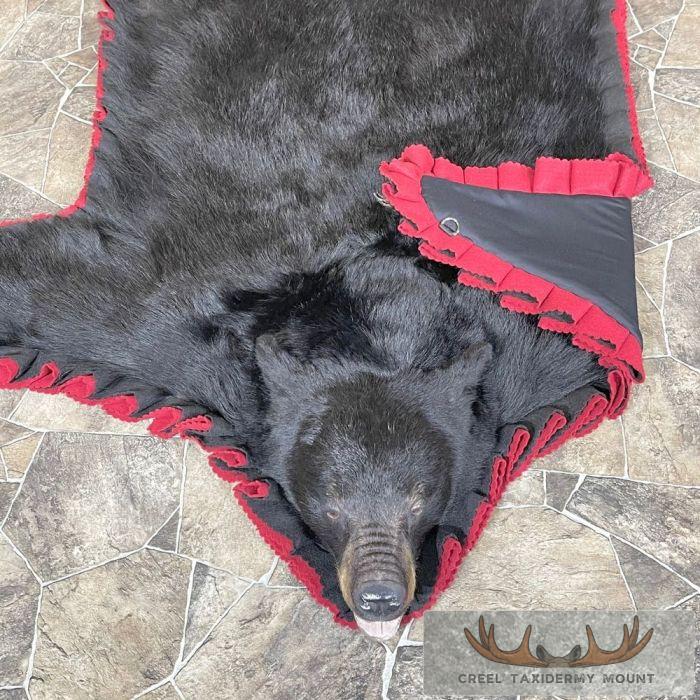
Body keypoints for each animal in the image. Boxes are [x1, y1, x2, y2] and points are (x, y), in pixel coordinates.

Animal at [0, 0, 622, 638]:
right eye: (331, 504)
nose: (381, 597)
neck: (374, 316)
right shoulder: (176, 320)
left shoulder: (535, 346)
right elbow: (67, 295)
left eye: (419, 500)